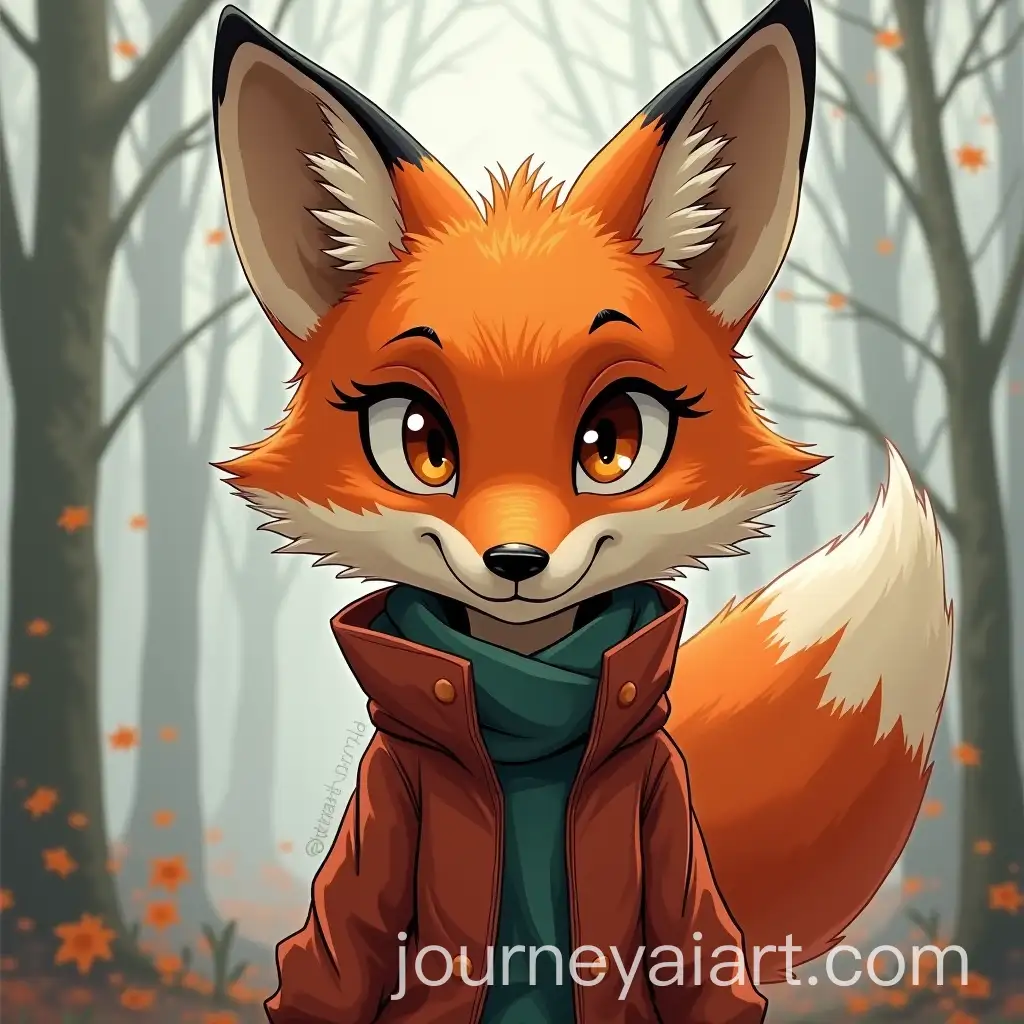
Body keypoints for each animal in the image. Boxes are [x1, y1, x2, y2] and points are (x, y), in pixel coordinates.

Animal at [211, 0, 953, 1021]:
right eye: (419, 440)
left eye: (612, 439)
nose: (517, 563)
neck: (525, 684)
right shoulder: (387, 793)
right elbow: (339, 947)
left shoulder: (661, 796)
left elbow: (697, 946)